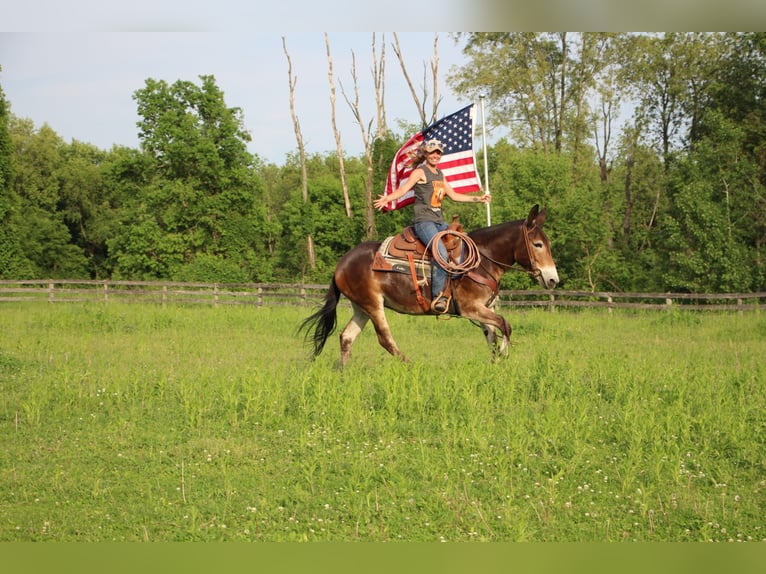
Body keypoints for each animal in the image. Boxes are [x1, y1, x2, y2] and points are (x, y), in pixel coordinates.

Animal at [300, 204, 560, 364]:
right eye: (537, 244)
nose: (553, 279)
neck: (481, 260)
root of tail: (341, 264)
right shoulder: (471, 308)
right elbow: (506, 325)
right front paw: (504, 356)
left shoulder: (484, 310)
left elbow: (493, 336)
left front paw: (497, 362)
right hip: (373, 305)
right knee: (385, 340)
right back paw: (411, 365)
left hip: (360, 308)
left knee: (346, 338)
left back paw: (344, 374)